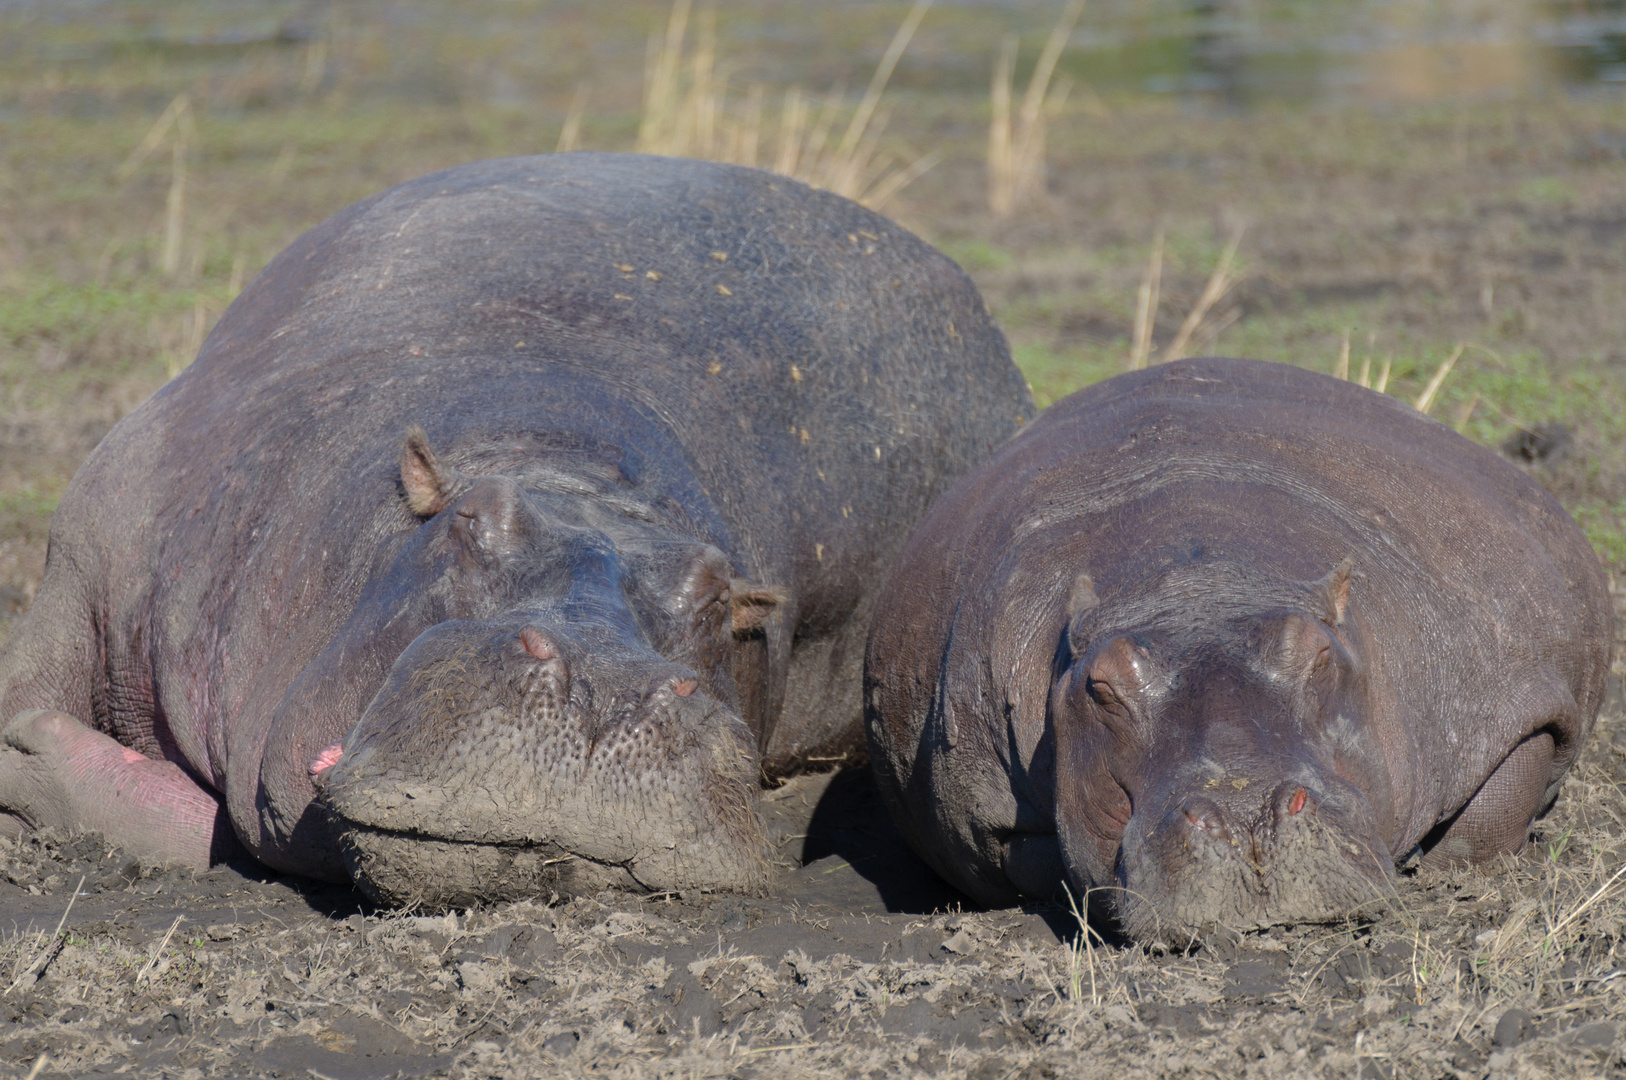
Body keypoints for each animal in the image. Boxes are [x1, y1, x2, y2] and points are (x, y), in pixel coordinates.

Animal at [865, 357, 1612, 943]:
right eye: (1101, 686)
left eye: (1316, 652)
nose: (1245, 812)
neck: (1201, 578)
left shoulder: (1511, 697)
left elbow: (1499, 801)